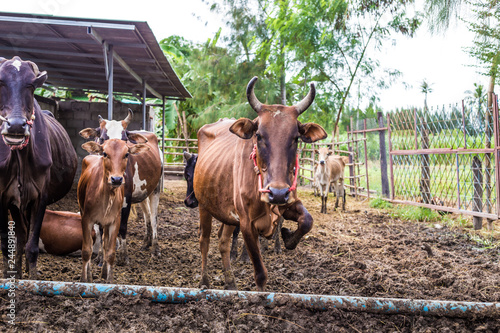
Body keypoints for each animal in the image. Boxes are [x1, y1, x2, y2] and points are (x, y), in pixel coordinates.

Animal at [0, 57, 77, 278]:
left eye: (31, 85)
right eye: (0, 82)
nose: (16, 126)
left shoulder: (40, 196)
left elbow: (32, 245)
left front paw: (33, 278)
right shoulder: (2, 197)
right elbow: (8, 245)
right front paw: (11, 275)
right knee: (20, 236)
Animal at [77, 135, 148, 282]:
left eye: (126, 154)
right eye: (105, 153)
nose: (116, 179)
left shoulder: (115, 221)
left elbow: (110, 253)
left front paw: (109, 281)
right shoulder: (86, 219)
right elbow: (86, 250)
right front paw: (84, 280)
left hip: (106, 223)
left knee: (104, 244)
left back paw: (104, 272)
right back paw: (89, 276)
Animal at [78, 110, 162, 264]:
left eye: (125, 139)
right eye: (102, 138)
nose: (117, 179)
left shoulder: (126, 199)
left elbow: (122, 227)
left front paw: (123, 256)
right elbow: (101, 228)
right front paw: (101, 256)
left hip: (156, 189)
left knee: (154, 217)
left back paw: (155, 248)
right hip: (143, 193)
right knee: (147, 214)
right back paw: (146, 243)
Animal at [192, 76, 328, 290]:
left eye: (296, 138)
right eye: (259, 135)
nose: (277, 193)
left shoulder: (288, 202)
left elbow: (307, 221)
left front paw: (288, 237)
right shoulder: (246, 223)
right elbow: (260, 273)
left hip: (227, 213)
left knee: (223, 241)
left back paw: (230, 283)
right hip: (204, 206)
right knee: (204, 241)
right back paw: (204, 281)